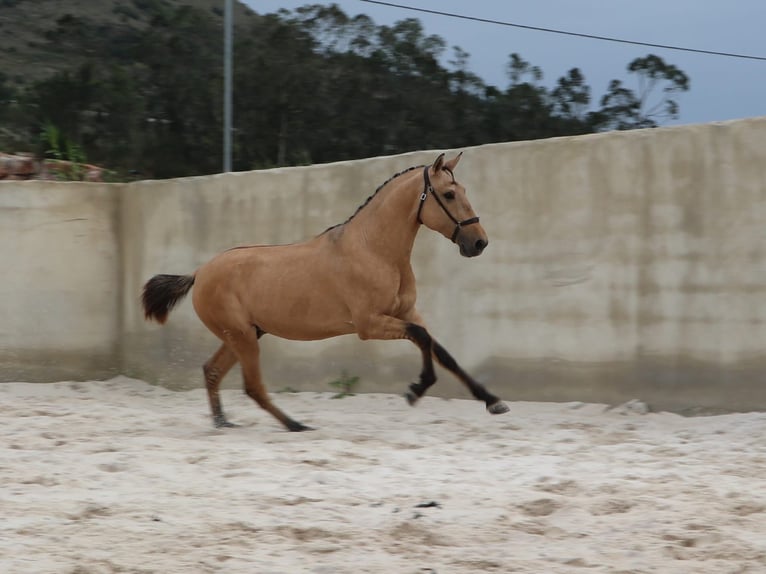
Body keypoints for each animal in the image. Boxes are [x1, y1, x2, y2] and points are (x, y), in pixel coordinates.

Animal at [141, 153, 512, 432]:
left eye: (462, 189)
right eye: (449, 194)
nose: (479, 242)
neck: (374, 250)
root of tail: (200, 272)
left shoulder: (406, 312)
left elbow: (442, 352)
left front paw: (493, 401)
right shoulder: (369, 324)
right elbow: (421, 339)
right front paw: (415, 390)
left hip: (244, 334)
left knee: (213, 371)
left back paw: (224, 423)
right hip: (242, 337)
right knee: (253, 387)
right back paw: (296, 425)